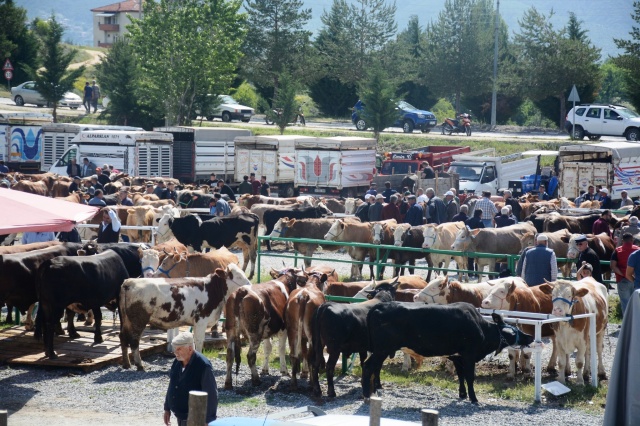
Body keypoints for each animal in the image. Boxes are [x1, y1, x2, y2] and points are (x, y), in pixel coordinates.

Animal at [119, 262, 251, 370]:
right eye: (238, 276)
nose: (249, 286)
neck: (212, 289)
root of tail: (129, 282)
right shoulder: (201, 320)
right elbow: (198, 341)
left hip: (125, 319)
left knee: (123, 337)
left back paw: (126, 364)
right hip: (138, 320)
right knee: (134, 341)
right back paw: (139, 365)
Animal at [360, 302, 536, 402]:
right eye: (512, 332)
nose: (530, 336)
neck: (480, 328)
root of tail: (378, 306)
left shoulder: (457, 356)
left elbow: (461, 376)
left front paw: (463, 394)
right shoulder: (469, 355)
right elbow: (469, 377)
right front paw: (473, 398)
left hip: (381, 350)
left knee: (374, 367)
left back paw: (375, 389)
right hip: (382, 349)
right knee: (368, 366)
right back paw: (367, 394)